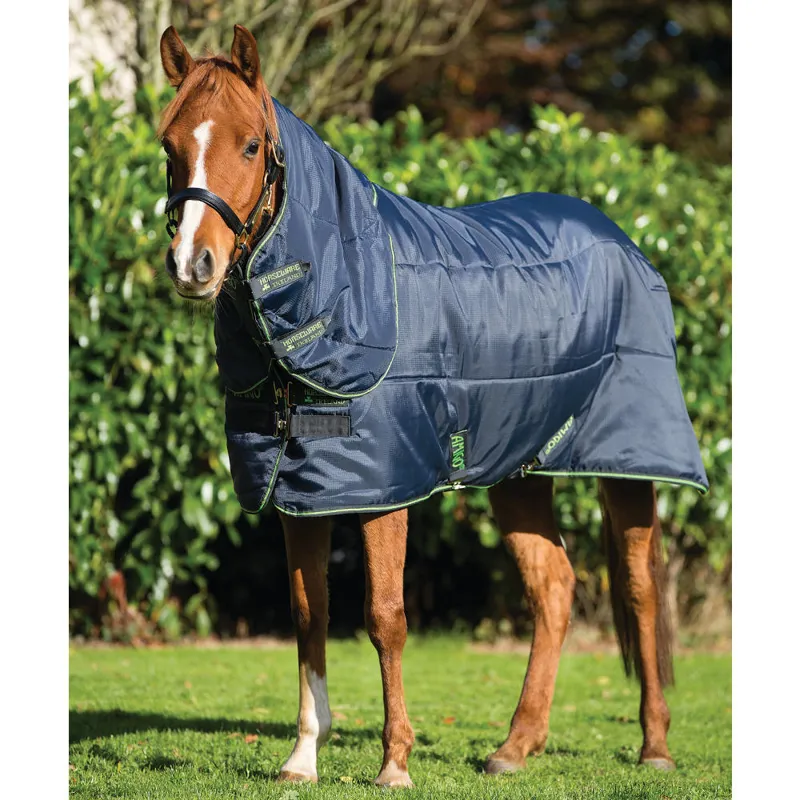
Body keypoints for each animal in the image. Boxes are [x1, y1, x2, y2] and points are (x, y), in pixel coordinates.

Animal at [157, 24, 707, 787]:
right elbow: (308, 613)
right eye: (169, 146)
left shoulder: (385, 487)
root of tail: (622, 241)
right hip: (518, 472)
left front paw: (394, 762)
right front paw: (302, 757)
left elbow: (385, 616)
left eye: (249, 145)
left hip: (628, 462)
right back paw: (515, 747)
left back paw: (654, 746)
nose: (193, 265)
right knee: (554, 587)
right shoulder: (302, 489)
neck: (346, 285)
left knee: (638, 588)